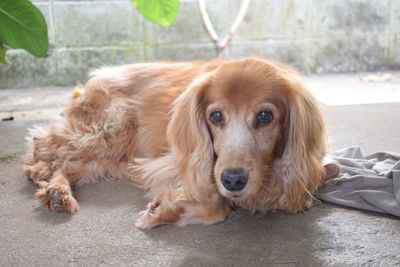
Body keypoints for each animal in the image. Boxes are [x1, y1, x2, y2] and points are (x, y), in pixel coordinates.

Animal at [21, 57, 326, 229]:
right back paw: (42, 173)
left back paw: (56, 191)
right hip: (106, 131)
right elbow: (216, 205)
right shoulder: (175, 163)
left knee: (67, 162)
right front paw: (164, 210)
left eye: (266, 116)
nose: (233, 180)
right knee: (46, 144)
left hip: (115, 157)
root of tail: (98, 76)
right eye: (215, 116)